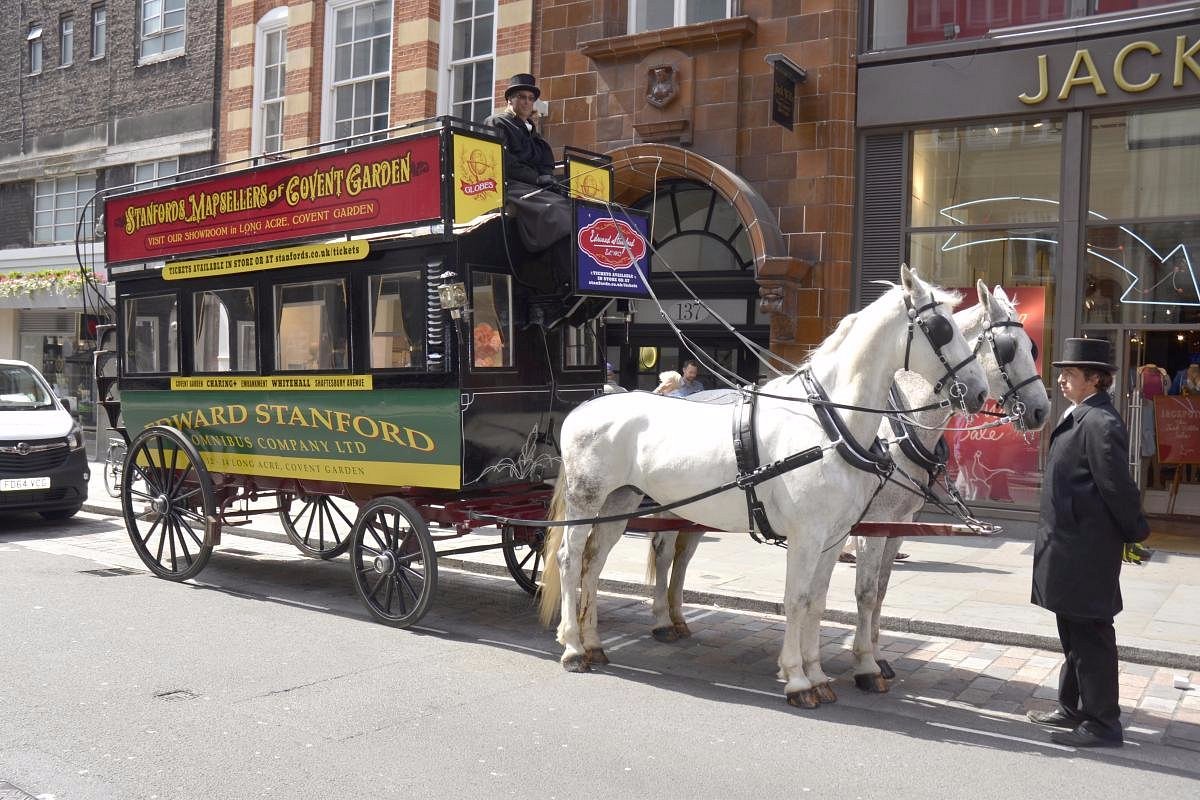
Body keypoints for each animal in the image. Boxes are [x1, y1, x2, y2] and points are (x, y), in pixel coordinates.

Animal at [540, 267, 988, 705]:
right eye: (941, 328)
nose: (979, 391)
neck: (828, 425)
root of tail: (588, 404)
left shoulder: (833, 535)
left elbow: (817, 602)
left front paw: (817, 674)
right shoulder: (807, 535)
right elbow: (797, 599)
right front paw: (798, 679)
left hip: (621, 500)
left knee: (594, 563)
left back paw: (594, 644)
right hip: (587, 498)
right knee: (569, 558)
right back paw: (574, 648)